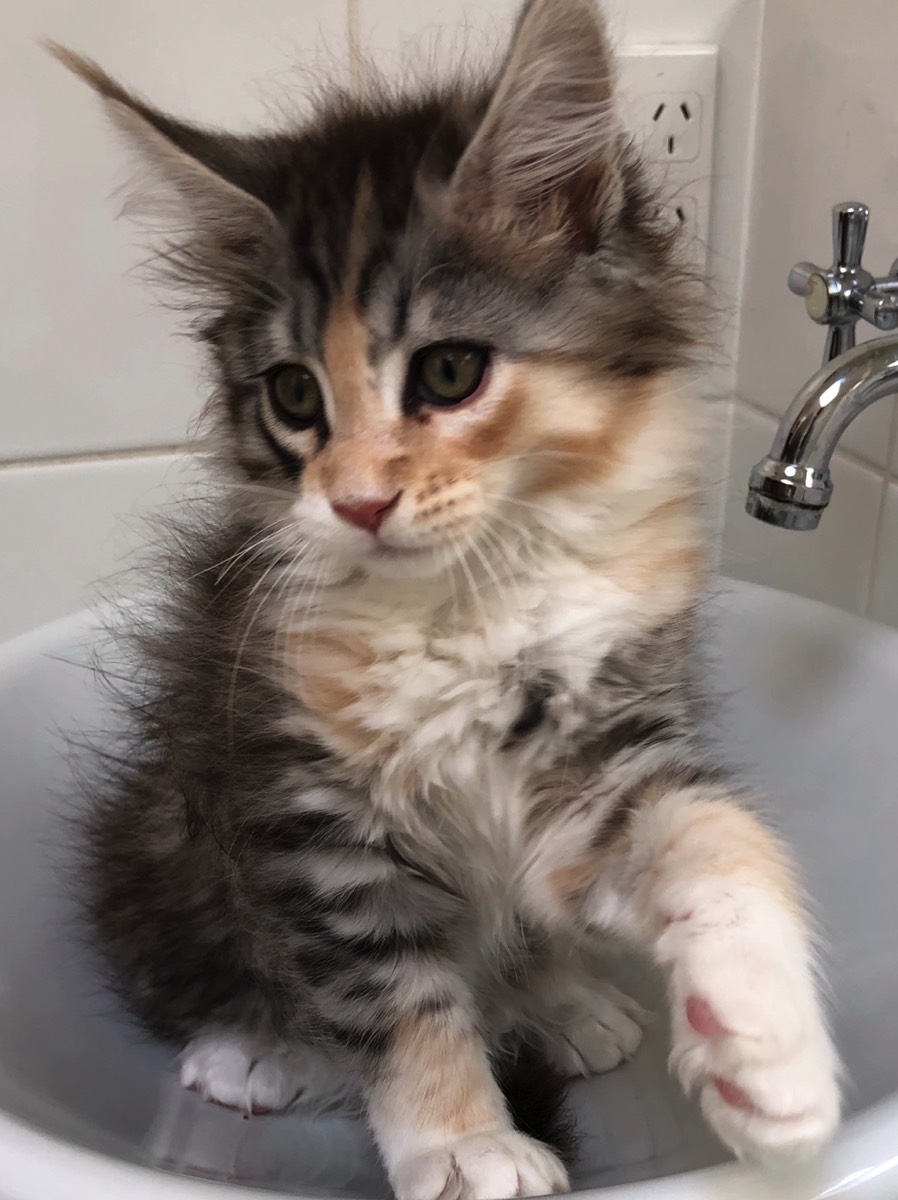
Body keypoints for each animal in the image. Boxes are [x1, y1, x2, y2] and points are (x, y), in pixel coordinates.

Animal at [53, 0, 840, 1196]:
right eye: (293, 396)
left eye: (449, 372)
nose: (358, 501)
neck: (461, 600)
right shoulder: (311, 814)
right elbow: (396, 998)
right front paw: (465, 1140)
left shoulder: (600, 745)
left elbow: (712, 830)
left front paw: (765, 1042)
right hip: (168, 827)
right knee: (203, 971)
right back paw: (259, 1047)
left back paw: (560, 999)